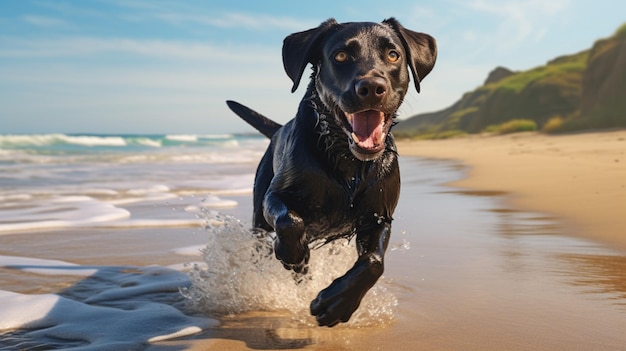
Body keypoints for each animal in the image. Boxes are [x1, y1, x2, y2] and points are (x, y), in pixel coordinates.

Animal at [224, 18, 434, 328]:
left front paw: (337, 303)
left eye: (393, 55)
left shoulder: (379, 215)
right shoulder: (274, 197)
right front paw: (295, 255)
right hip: (259, 213)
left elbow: (374, 261)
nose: (372, 87)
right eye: (341, 56)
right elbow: (289, 220)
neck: (348, 161)